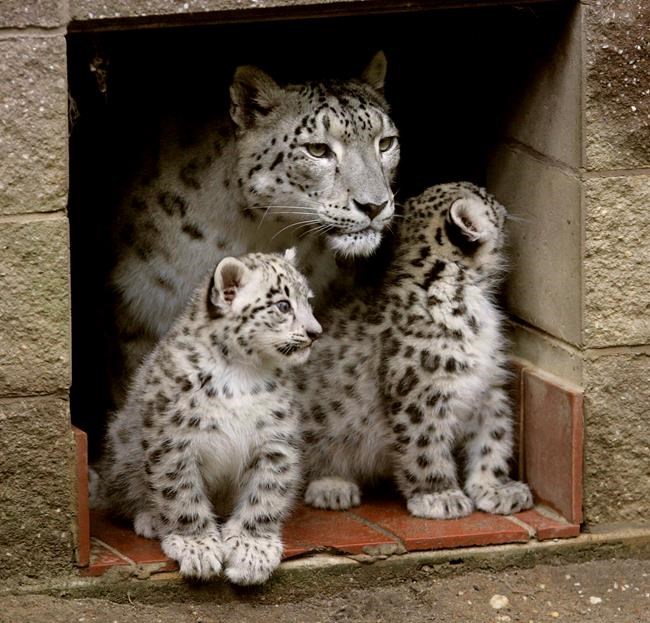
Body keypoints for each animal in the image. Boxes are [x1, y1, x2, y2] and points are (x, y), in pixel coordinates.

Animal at [94, 250, 321, 584]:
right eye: (283, 305)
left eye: (309, 301)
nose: (316, 333)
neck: (243, 372)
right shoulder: (174, 441)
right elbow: (181, 493)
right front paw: (197, 546)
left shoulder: (275, 440)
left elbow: (266, 494)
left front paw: (252, 551)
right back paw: (150, 519)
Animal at [297, 182, 533, 520]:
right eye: (481, 194)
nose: (501, 201)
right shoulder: (422, 392)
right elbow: (425, 447)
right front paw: (439, 496)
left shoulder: (488, 388)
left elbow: (495, 438)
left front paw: (497, 488)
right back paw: (331, 486)